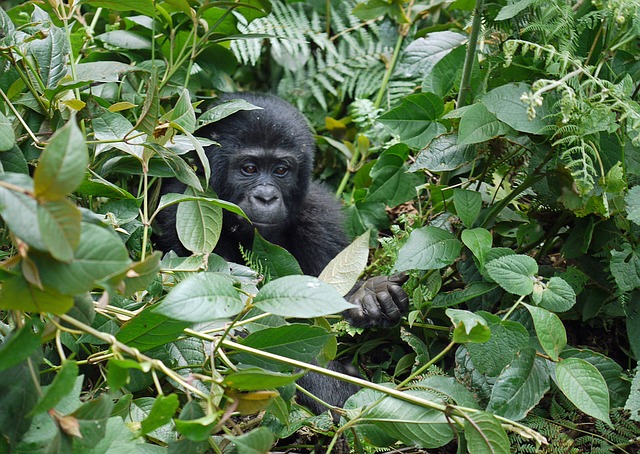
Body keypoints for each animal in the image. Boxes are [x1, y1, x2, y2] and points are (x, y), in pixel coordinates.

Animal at [152, 95, 408, 414]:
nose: (266, 197)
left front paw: (368, 294)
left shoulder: (320, 213)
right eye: (249, 168)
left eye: (281, 170)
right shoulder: (181, 208)